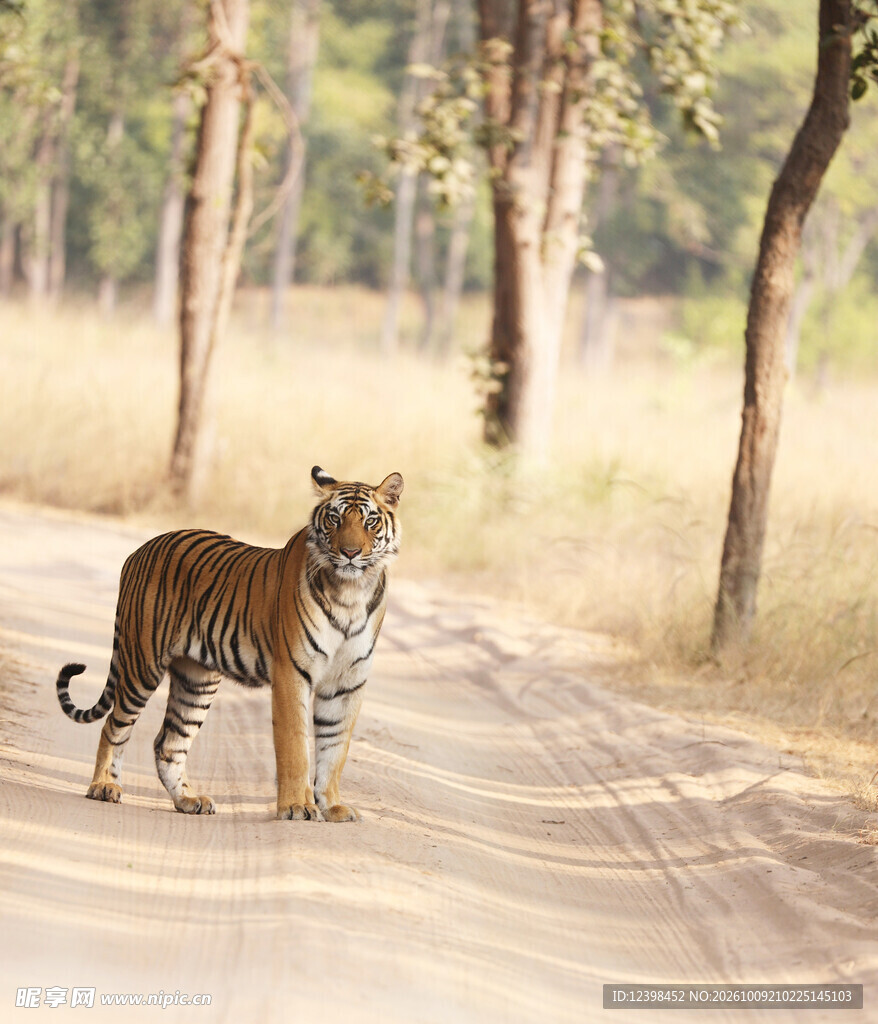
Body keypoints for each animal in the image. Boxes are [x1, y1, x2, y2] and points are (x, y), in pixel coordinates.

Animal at [55, 466, 403, 823]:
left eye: (370, 521)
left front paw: (331, 806)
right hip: (143, 664)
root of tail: (139, 550)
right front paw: (296, 806)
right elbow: (295, 745)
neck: (351, 593)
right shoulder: (292, 673)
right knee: (113, 726)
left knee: (168, 743)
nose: (350, 553)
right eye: (334, 519)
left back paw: (188, 800)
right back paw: (103, 786)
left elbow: (335, 749)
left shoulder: (346, 683)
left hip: (196, 680)